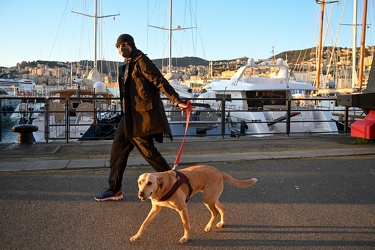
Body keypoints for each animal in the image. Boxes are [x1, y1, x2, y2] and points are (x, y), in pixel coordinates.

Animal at [130, 165, 258, 243]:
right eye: (139, 182)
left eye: (149, 183)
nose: (140, 194)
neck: (164, 186)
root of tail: (219, 172)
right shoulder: (155, 209)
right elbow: (144, 224)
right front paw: (136, 236)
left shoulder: (182, 208)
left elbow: (186, 225)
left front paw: (186, 237)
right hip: (212, 198)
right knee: (222, 209)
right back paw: (221, 223)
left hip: (208, 199)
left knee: (215, 212)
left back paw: (208, 226)